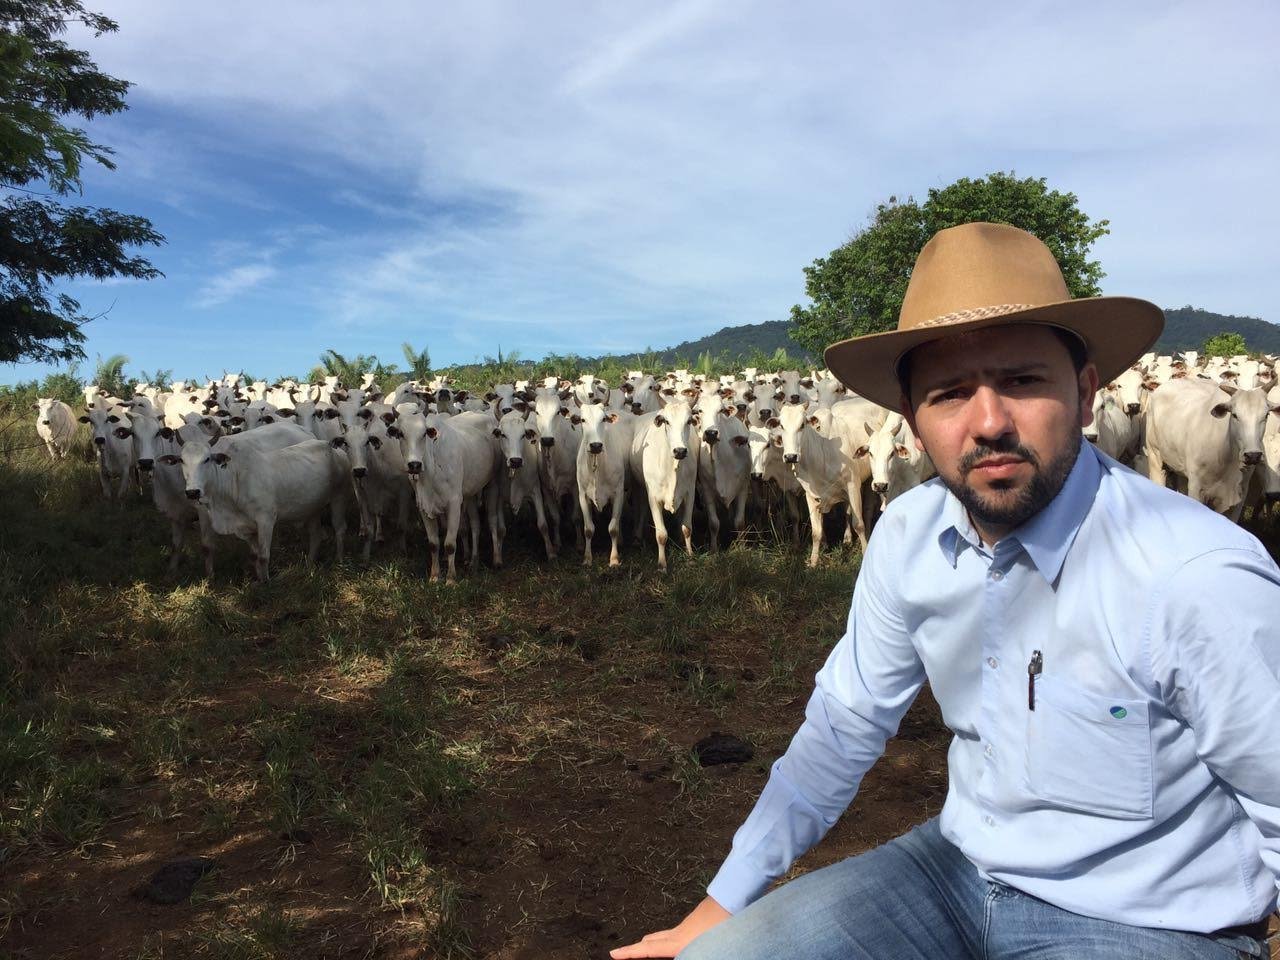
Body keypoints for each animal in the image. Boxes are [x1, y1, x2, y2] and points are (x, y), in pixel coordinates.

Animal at [629, 399, 701, 570]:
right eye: (667, 421)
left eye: (689, 421)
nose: (680, 451)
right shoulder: (654, 497)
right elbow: (661, 534)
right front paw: (662, 564)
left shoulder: (690, 494)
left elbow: (687, 528)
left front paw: (690, 556)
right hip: (639, 486)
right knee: (641, 508)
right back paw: (638, 537)